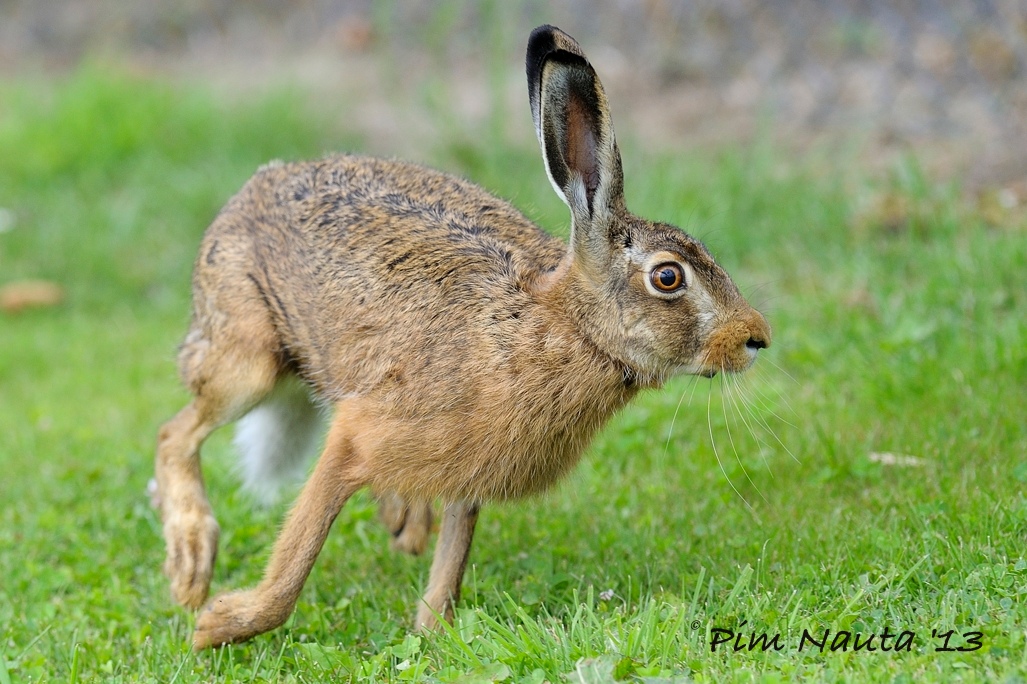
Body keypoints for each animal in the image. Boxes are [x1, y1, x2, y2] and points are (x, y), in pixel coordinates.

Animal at [153, 24, 771, 649]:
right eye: (668, 277)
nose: (756, 338)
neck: (565, 327)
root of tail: (253, 189)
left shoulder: (469, 471)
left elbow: (450, 561)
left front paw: (432, 633)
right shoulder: (359, 435)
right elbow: (295, 558)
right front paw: (217, 626)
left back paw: (402, 520)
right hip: (247, 359)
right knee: (174, 434)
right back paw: (191, 571)